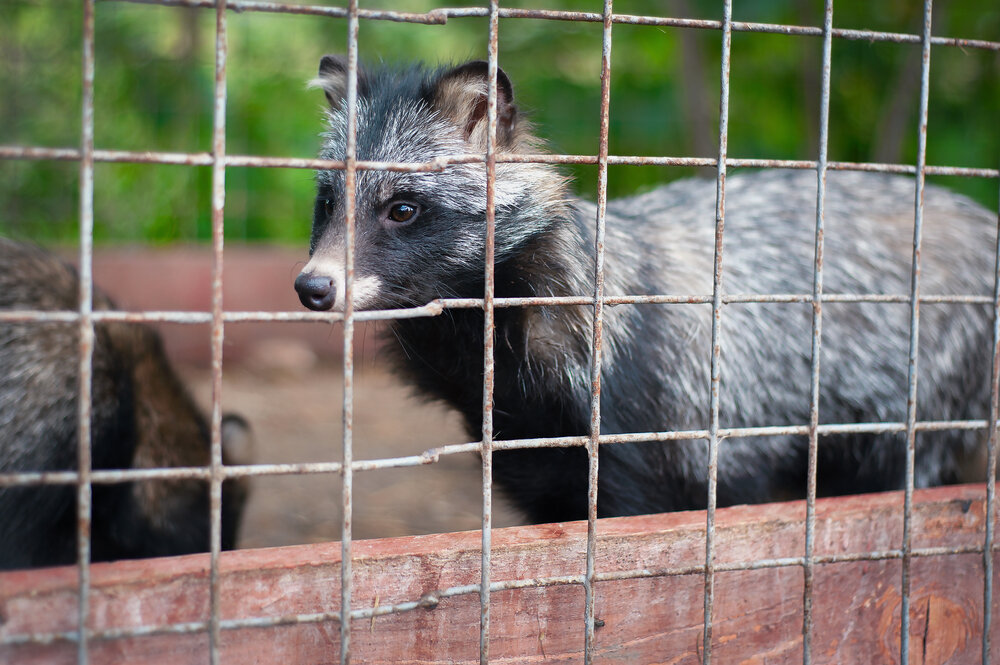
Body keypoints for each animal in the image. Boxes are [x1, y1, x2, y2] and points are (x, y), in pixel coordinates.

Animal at [295, 57, 995, 524]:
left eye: (403, 208)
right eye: (326, 202)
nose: (313, 286)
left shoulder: (657, 434)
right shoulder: (539, 460)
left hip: (917, 396)